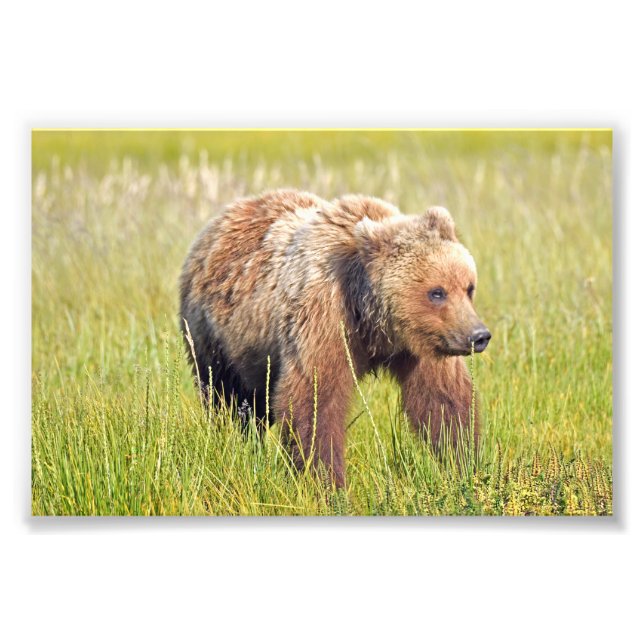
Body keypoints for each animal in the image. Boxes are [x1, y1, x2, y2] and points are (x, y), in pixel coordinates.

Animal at [179, 189, 490, 487]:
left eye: (469, 287)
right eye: (437, 292)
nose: (479, 335)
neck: (373, 319)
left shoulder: (425, 345)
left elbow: (443, 400)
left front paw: (465, 464)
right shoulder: (325, 318)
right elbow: (315, 399)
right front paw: (327, 481)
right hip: (216, 337)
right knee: (227, 400)